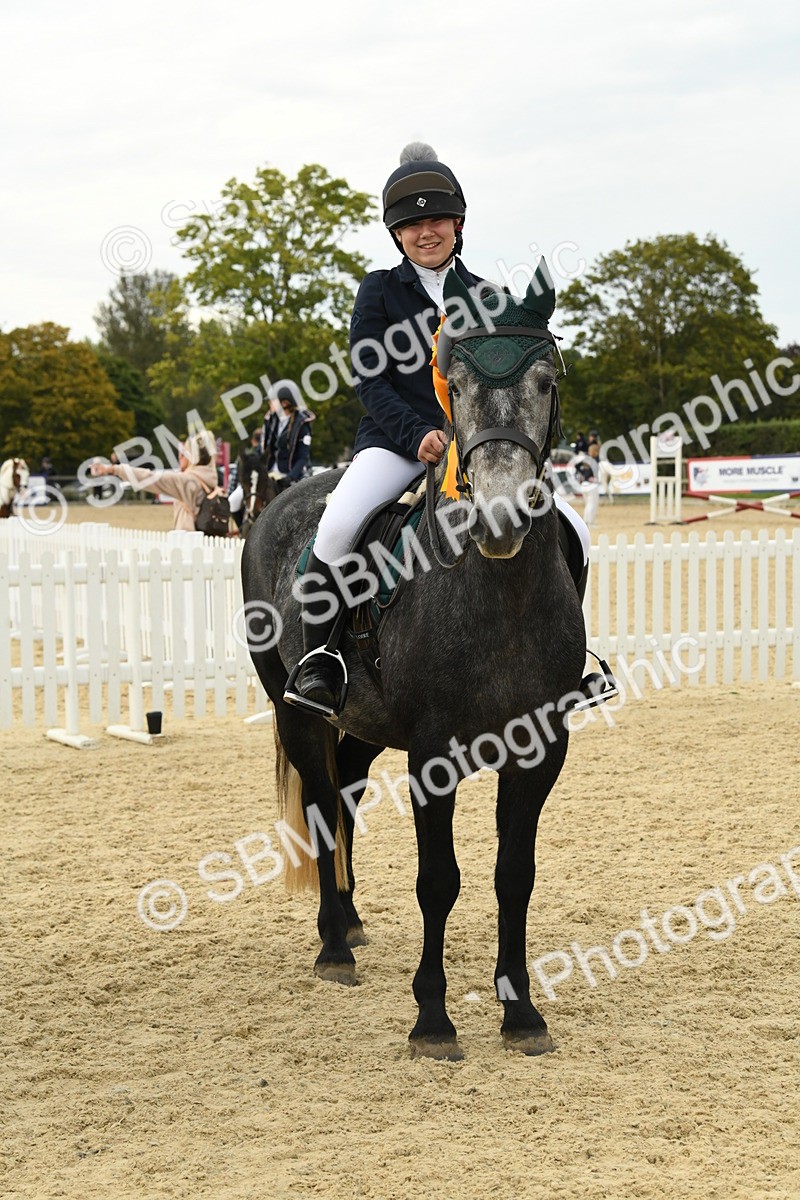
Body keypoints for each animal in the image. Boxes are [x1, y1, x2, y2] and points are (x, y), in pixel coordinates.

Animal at [241, 265, 587, 1059]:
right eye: (452, 384)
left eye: (547, 380)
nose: (500, 521)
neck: (500, 593)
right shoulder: (433, 754)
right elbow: (440, 881)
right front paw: (432, 1019)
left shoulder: (541, 748)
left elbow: (513, 875)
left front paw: (521, 1013)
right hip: (295, 709)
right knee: (320, 809)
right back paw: (334, 946)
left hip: (363, 727)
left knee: (344, 795)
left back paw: (352, 920)